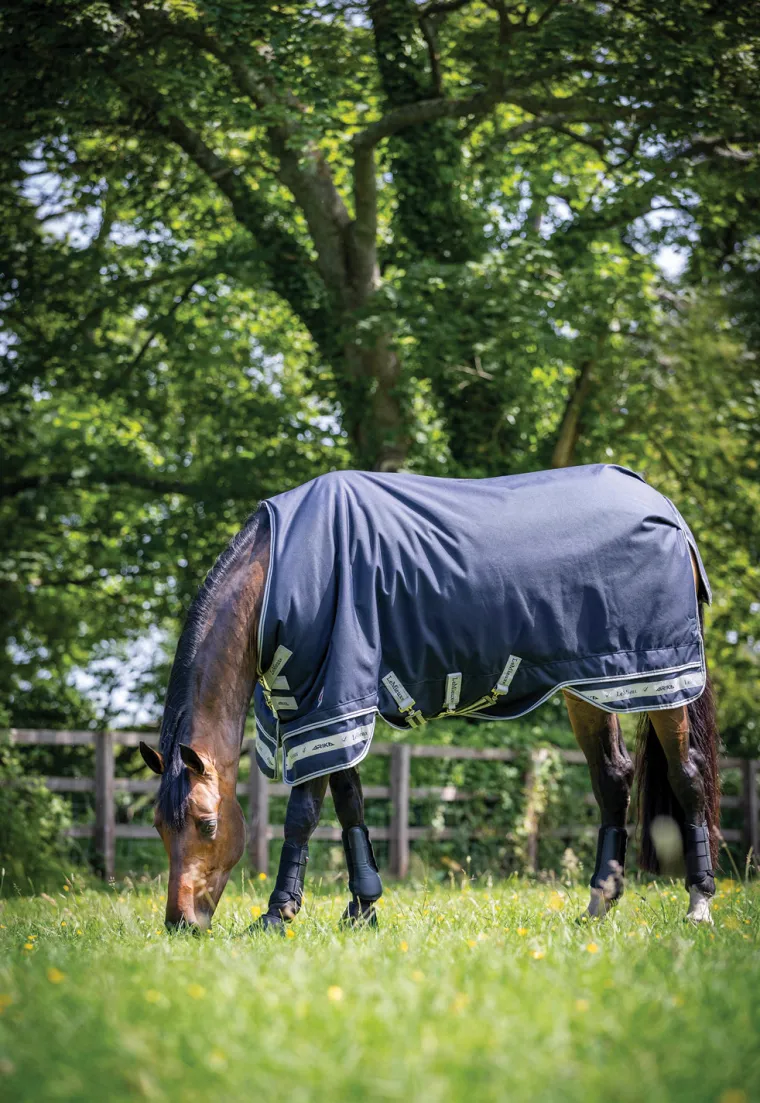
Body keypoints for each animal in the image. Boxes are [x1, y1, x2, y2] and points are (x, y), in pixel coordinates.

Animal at [139, 464, 720, 931]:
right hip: (595, 683)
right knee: (613, 778)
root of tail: (665, 510)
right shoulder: (333, 709)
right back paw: (598, 904)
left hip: (663, 679)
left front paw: (278, 914)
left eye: (207, 824)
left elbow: (304, 812)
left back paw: (699, 904)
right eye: (159, 827)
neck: (280, 569)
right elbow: (349, 802)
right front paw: (362, 907)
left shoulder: (326, 702)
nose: (181, 922)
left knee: (687, 773)